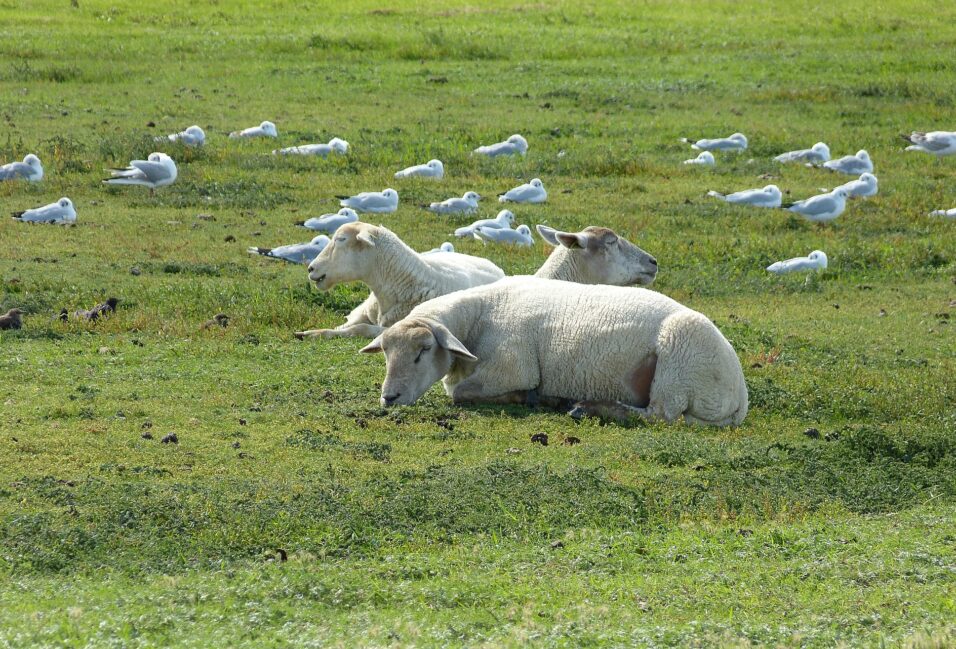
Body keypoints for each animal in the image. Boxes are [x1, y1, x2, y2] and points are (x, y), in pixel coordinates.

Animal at [358, 276, 748, 428]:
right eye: (385, 352)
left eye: (423, 350)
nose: (389, 398)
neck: (481, 313)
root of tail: (739, 396)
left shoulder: (512, 367)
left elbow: (460, 392)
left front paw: (530, 397)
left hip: (679, 359)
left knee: (659, 415)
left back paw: (586, 407)